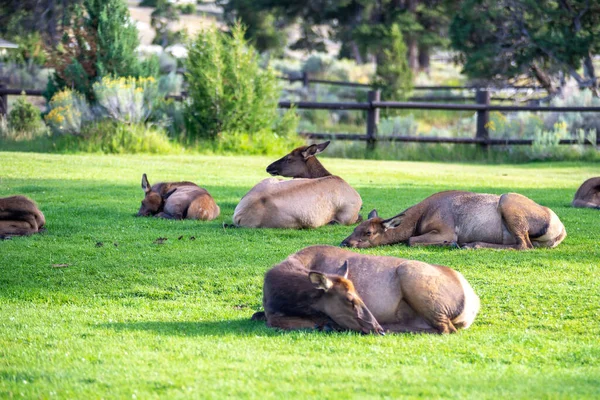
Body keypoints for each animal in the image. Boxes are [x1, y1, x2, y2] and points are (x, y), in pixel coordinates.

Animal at [252, 247, 478, 334]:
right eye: (350, 300)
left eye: (358, 296)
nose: (377, 328)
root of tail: (473, 303)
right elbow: (259, 315)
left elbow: (275, 320)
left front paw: (326, 324)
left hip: (411, 275)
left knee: (446, 329)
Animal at [340, 191, 564, 250]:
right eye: (355, 228)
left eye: (368, 232)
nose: (344, 242)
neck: (418, 220)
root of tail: (561, 231)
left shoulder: (446, 230)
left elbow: (410, 240)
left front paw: (452, 243)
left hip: (507, 201)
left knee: (524, 245)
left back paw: (471, 244)